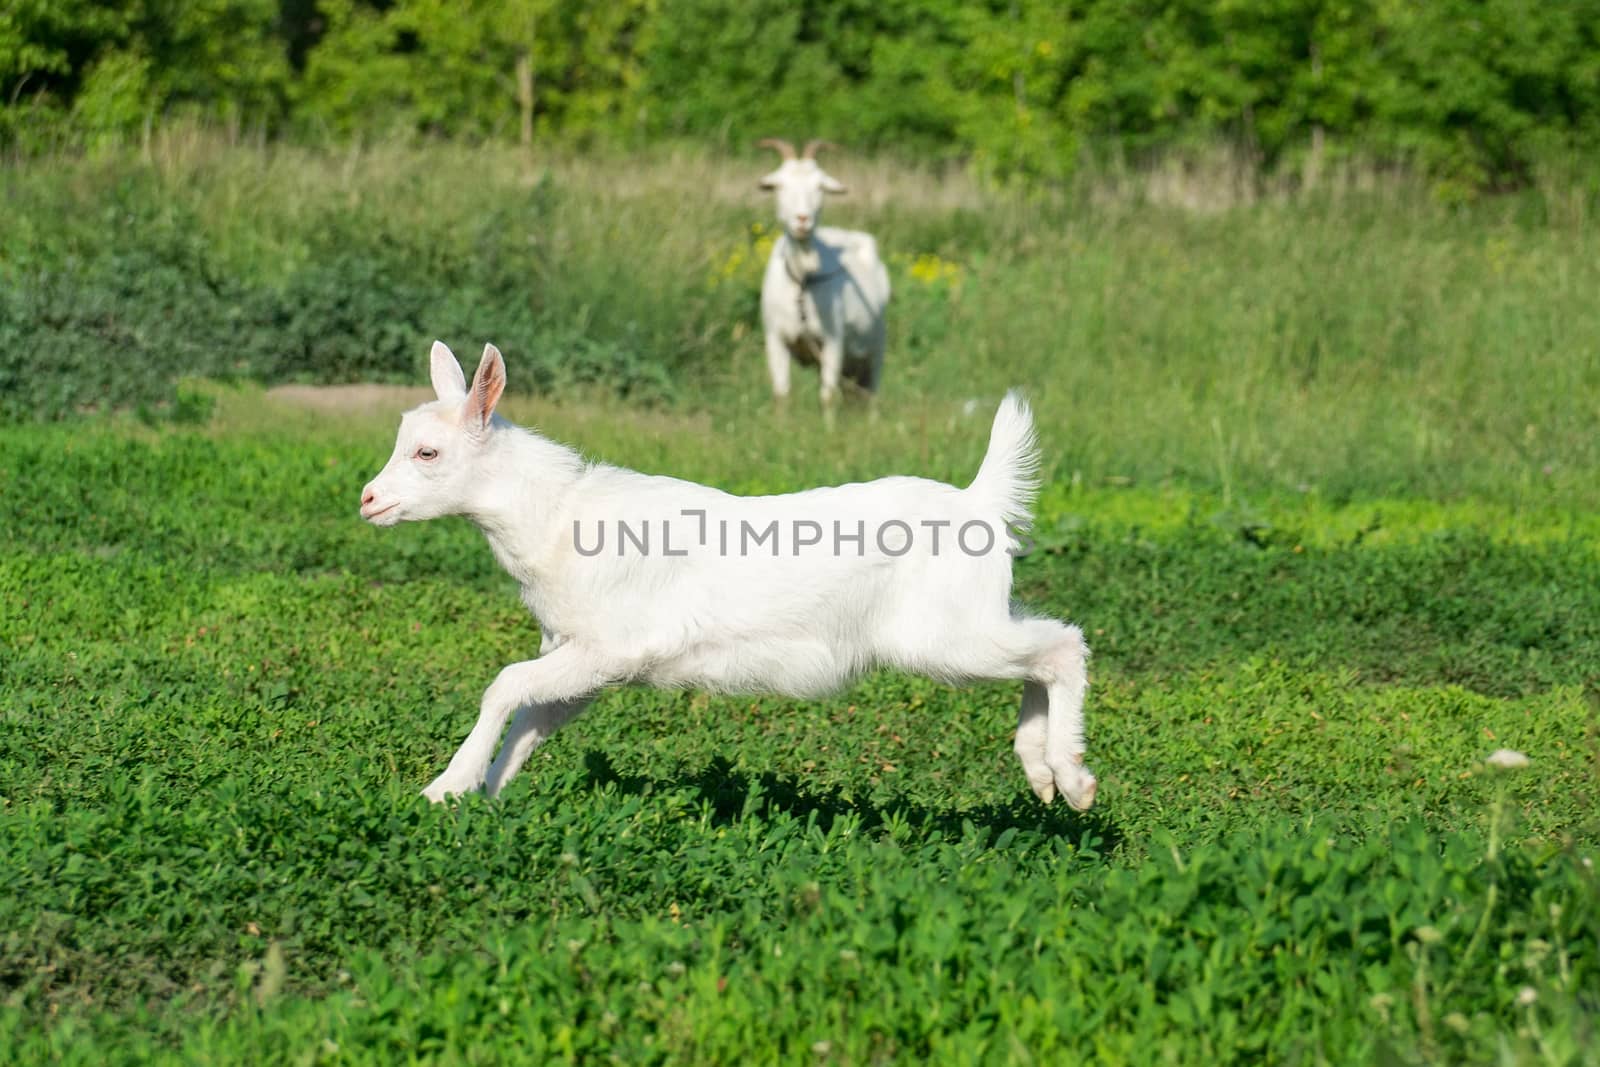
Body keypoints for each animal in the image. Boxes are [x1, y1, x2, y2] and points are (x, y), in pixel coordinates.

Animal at [356, 342, 1094, 809]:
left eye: (427, 452)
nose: (368, 500)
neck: (558, 515)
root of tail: (981, 502)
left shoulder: (614, 645)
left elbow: (504, 685)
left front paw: (443, 789)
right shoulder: (583, 659)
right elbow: (532, 716)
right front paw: (485, 796)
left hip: (942, 636)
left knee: (1064, 645)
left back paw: (1074, 779)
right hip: (973, 621)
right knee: (1043, 646)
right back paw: (1043, 774)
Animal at [758, 137, 896, 409]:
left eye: (820, 187)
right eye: (779, 185)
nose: (803, 219)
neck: (802, 282)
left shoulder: (833, 341)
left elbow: (828, 396)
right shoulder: (776, 338)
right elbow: (782, 394)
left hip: (876, 346)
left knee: (871, 392)